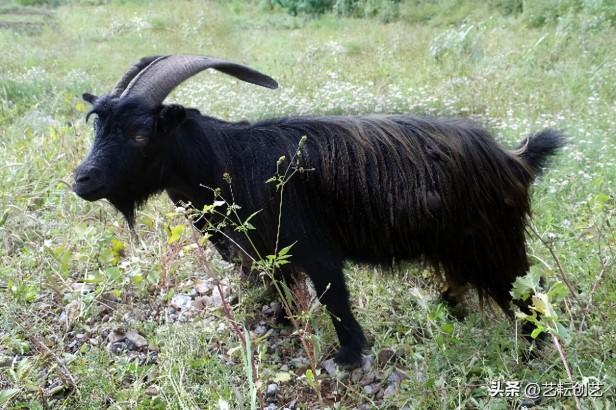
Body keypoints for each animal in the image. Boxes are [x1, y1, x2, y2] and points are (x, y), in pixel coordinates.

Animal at [72, 53, 564, 366]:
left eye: (140, 134)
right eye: (98, 125)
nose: (82, 180)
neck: (230, 159)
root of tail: (515, 158)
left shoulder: (313, 247)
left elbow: (335, 298)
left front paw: (348, 356)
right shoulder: (268, 256)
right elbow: (286, 296)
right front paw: (283, 327)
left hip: (494, 244)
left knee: (528, 298)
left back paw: (531, 352)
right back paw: (450, 308)